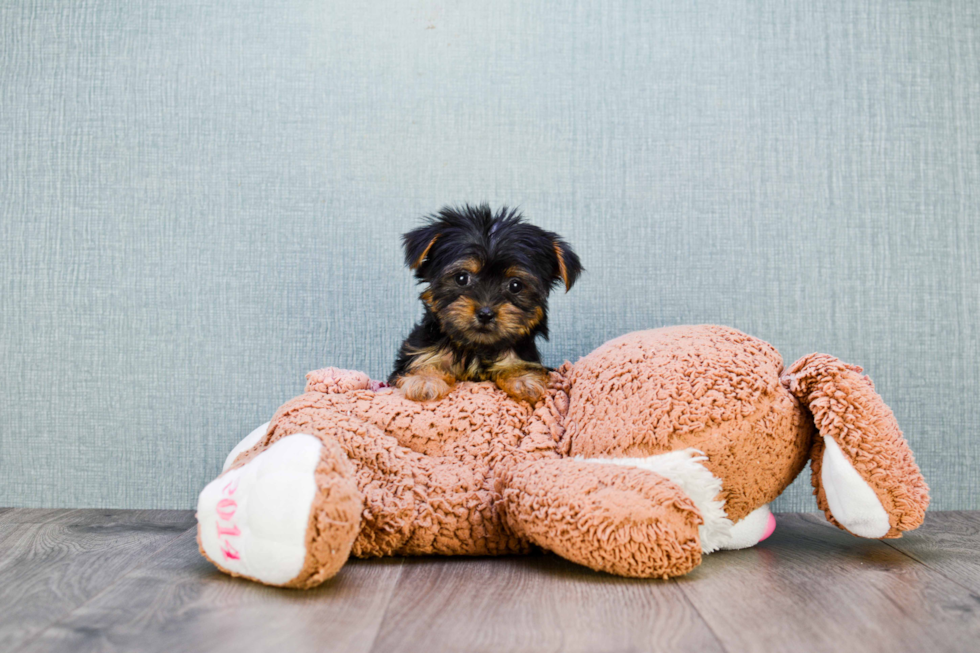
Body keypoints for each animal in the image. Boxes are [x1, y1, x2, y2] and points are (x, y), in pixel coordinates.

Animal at [390, 206, 580, 404]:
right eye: (461, 278)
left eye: (515, 285)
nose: (485, 313)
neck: (476, 348)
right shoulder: (421, 350)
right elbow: (423, 363)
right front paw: (424, 380)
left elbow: (516, 364)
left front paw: (523, 379)